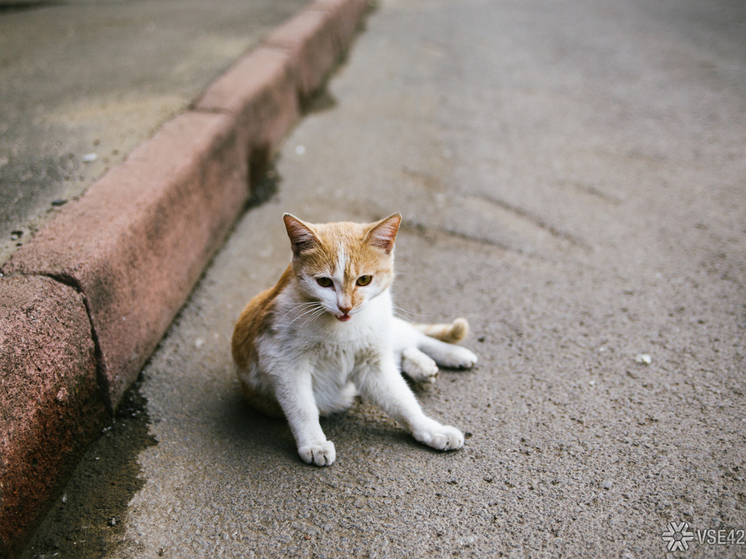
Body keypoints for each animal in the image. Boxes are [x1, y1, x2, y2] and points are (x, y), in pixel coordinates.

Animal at [231, 212, 476, 466]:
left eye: (364, 280)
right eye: (324, 282)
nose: (345, 307)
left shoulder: (372, 364)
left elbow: (403, 401)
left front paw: (431, 429)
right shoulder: (283, 362)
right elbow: (302, 407)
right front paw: (314, 443)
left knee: (411, 336)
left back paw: (450, 355)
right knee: (402, 348)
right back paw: (423, 365)